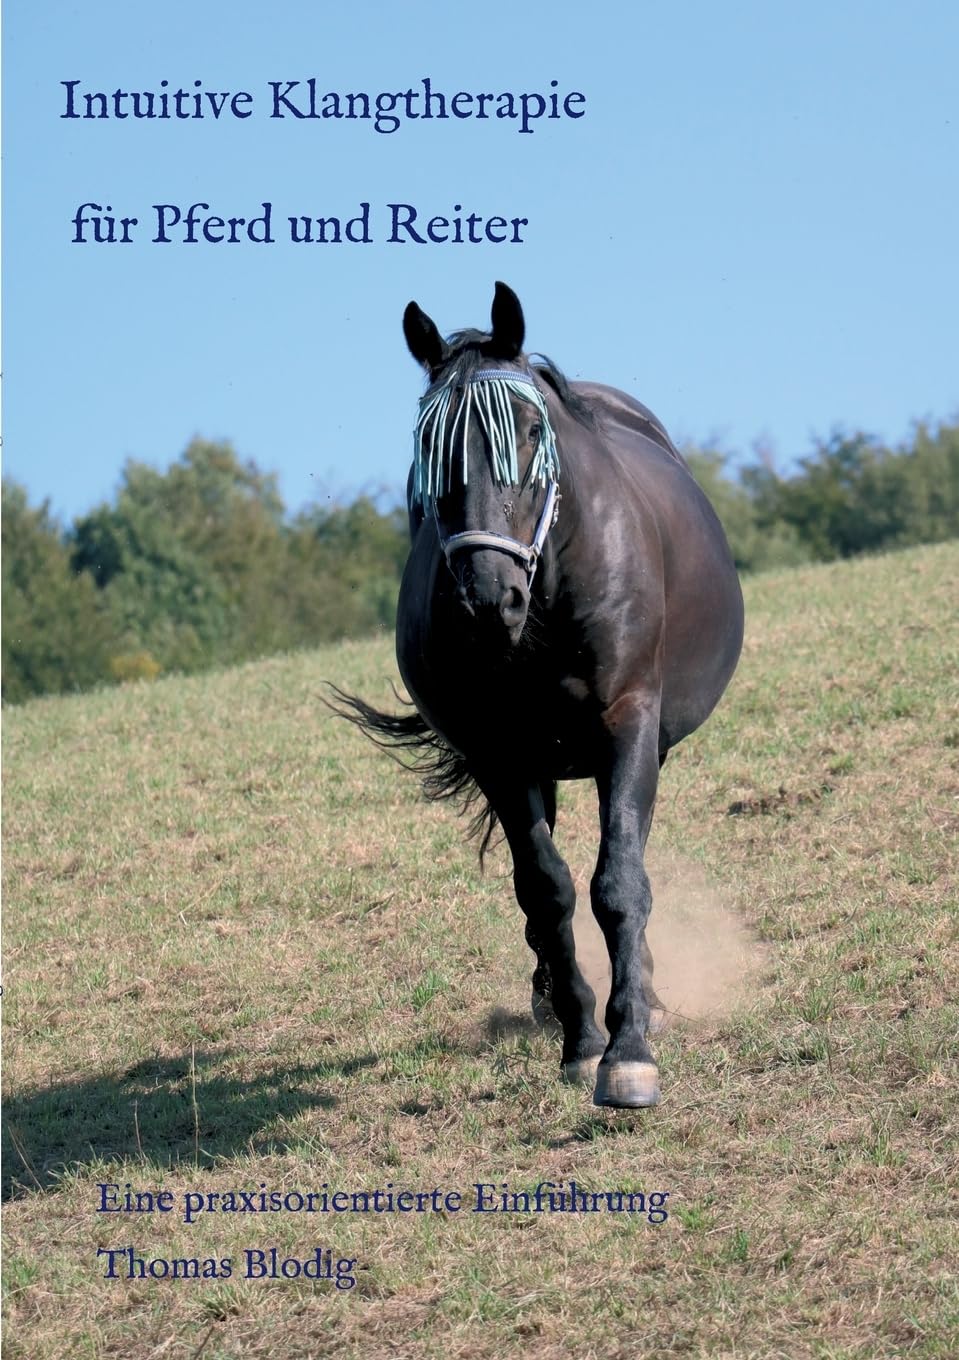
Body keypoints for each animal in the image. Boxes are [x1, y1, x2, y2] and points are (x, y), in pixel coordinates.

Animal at [337, 282, 744, 1108]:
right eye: (428, 447)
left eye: (528, 431)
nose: (486, 600)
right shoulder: (499, 755)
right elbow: (546, 890)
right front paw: (581, 1036)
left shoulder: (627, 726)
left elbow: (617, 881)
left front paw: (629, 1049)